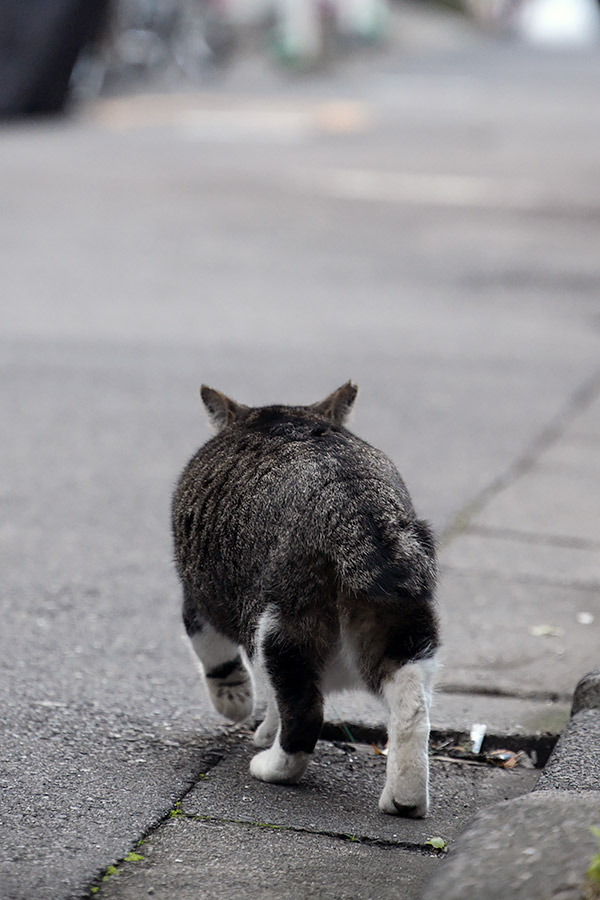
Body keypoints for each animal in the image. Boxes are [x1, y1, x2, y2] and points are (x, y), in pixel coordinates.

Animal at [171, 380, 438, 816]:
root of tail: (355, 508)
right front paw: (264, 727)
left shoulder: (198, 594)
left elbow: (217, 659)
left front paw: (237, 703)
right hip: (404, 625)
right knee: (413, 709)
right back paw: (405, 801)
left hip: (280, 625)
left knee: (304, 713)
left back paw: (271, 768)